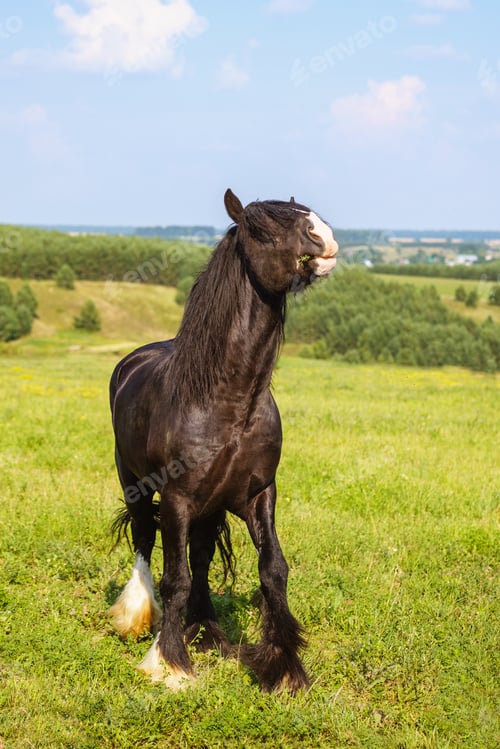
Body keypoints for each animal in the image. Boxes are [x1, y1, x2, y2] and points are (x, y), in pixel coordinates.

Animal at [109, 188, 338, 693]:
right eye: (261, 228)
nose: (323, 236)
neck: (228, 401)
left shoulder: (258, 494)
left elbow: (273, 570)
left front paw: (283, 667)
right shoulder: (177, 499)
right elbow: (173, 577)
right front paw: (168, 665)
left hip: (210, 506)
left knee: (201, 558)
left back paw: (207, 631)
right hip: (135, 484)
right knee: (144, 538)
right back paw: (136, 617)